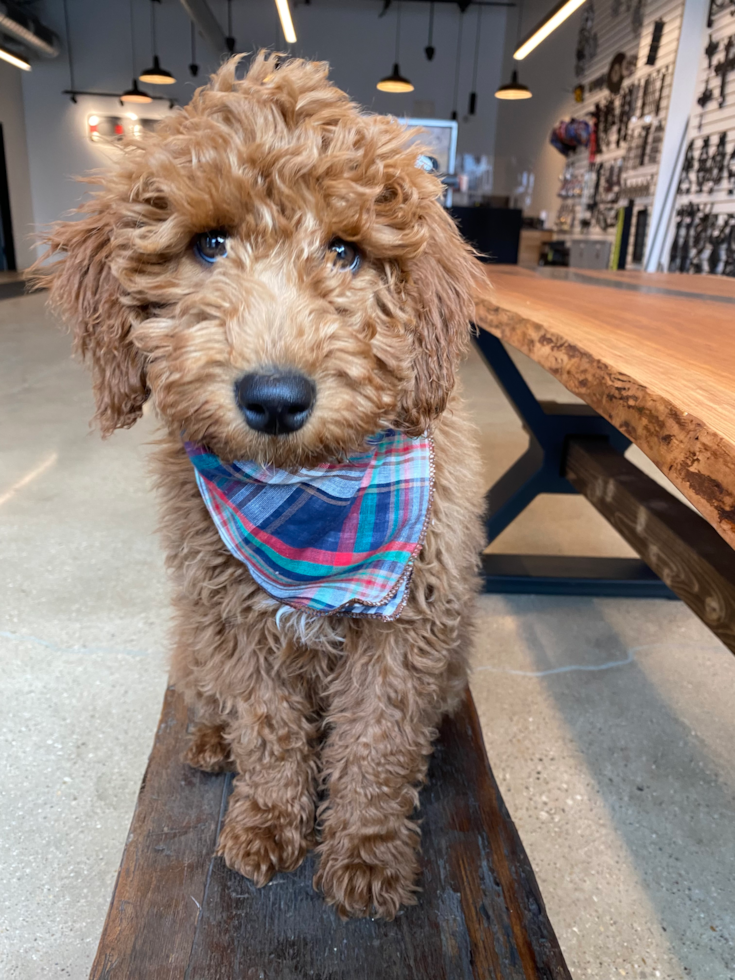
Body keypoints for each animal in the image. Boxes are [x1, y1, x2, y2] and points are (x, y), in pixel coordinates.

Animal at [43, 53, 486, 920]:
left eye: (346, 252)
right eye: (209, 244)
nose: (275, 398)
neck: (312, 497)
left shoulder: (405, 630)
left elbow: (377, 744)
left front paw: (366, 853)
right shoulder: (234, 621)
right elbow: (267, 727)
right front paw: (267, 825)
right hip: (193, 634)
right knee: (209, 697)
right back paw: (211, 742)